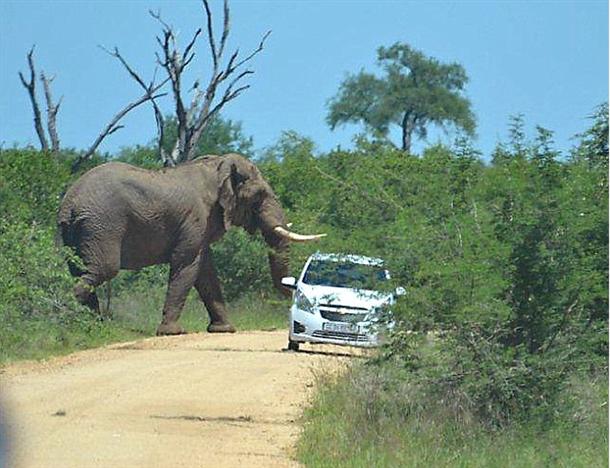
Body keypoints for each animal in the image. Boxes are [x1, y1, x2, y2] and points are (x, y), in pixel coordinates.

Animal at [57, 155, 324, 334]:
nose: (292, 290)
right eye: (258, 197)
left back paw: (92, 327)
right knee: (103, 270)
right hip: (102, 225)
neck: (218, 167)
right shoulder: (195, 219)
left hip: (75, 232)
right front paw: (173, 332)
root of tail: (70, 203)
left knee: (79, 271)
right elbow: (187, 265)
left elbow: (206, 271)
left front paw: (224, 329)